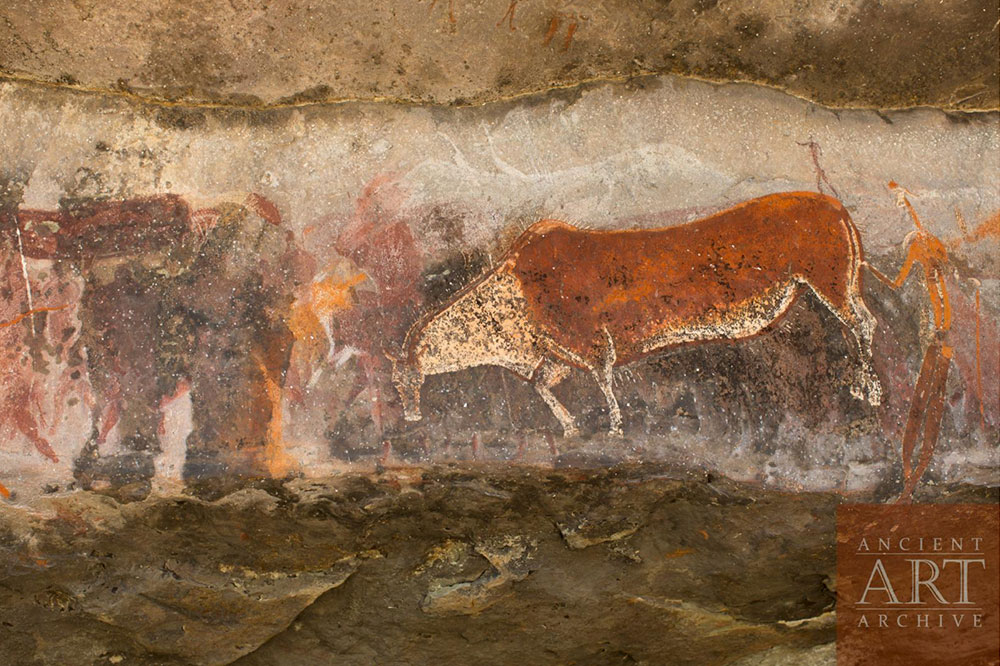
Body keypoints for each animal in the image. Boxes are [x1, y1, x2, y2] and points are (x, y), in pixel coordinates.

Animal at [390, 191, 884, 436]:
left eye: (406, 381)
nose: (410, 416)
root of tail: (838, 207)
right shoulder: (557, 355)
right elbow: (541, 385)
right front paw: (570, 425)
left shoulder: (589, 344)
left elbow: (604, 384)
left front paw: (613, 427)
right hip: (834, 285)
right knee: (858, 325)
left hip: (828, 281)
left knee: (864, 324)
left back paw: (870, 389)